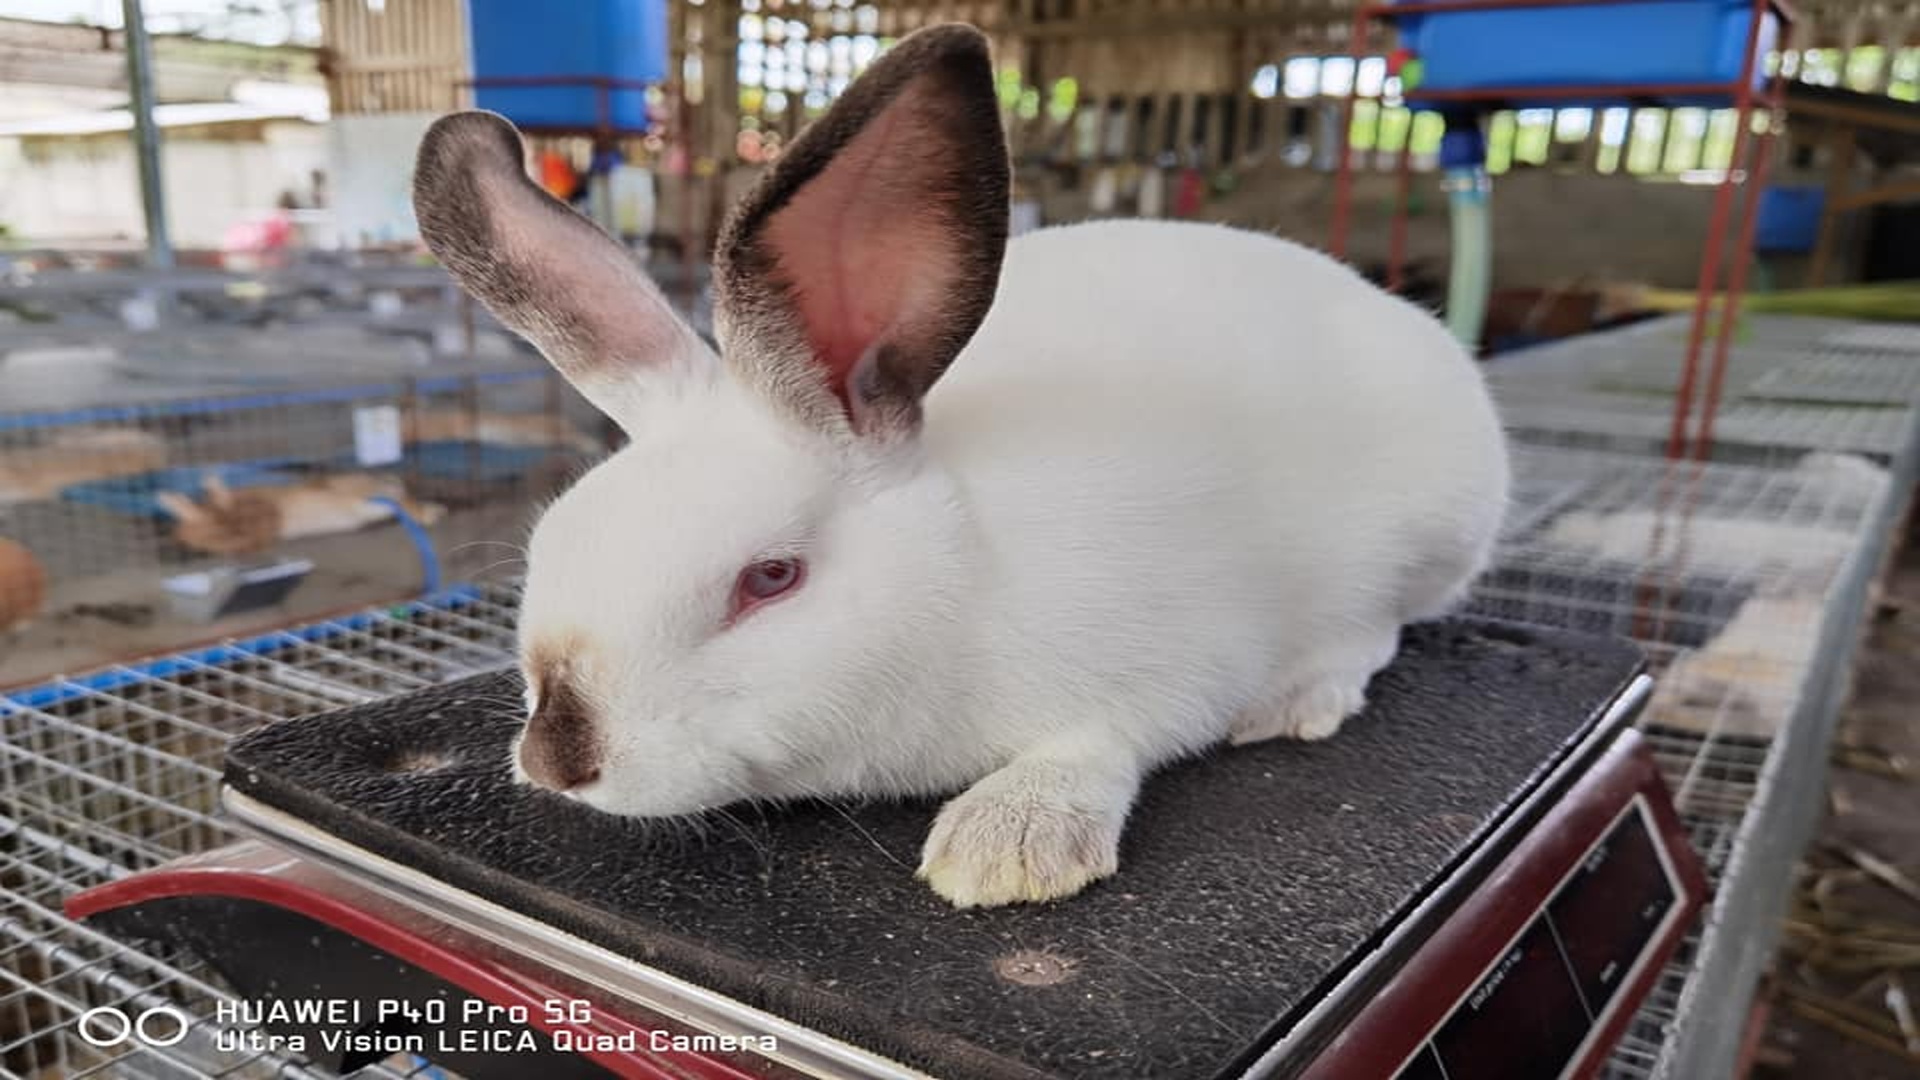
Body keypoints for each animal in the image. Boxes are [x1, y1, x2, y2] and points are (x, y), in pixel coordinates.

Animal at [411, 24, 1510, 908]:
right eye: (554, 543)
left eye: (771, 579)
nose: (558, 760)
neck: (962, 575)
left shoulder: (1172, 666)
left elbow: (1107, 739)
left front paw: (1008, 846)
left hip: (1428, 534)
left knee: (1377, 628)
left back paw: (1296, 701)